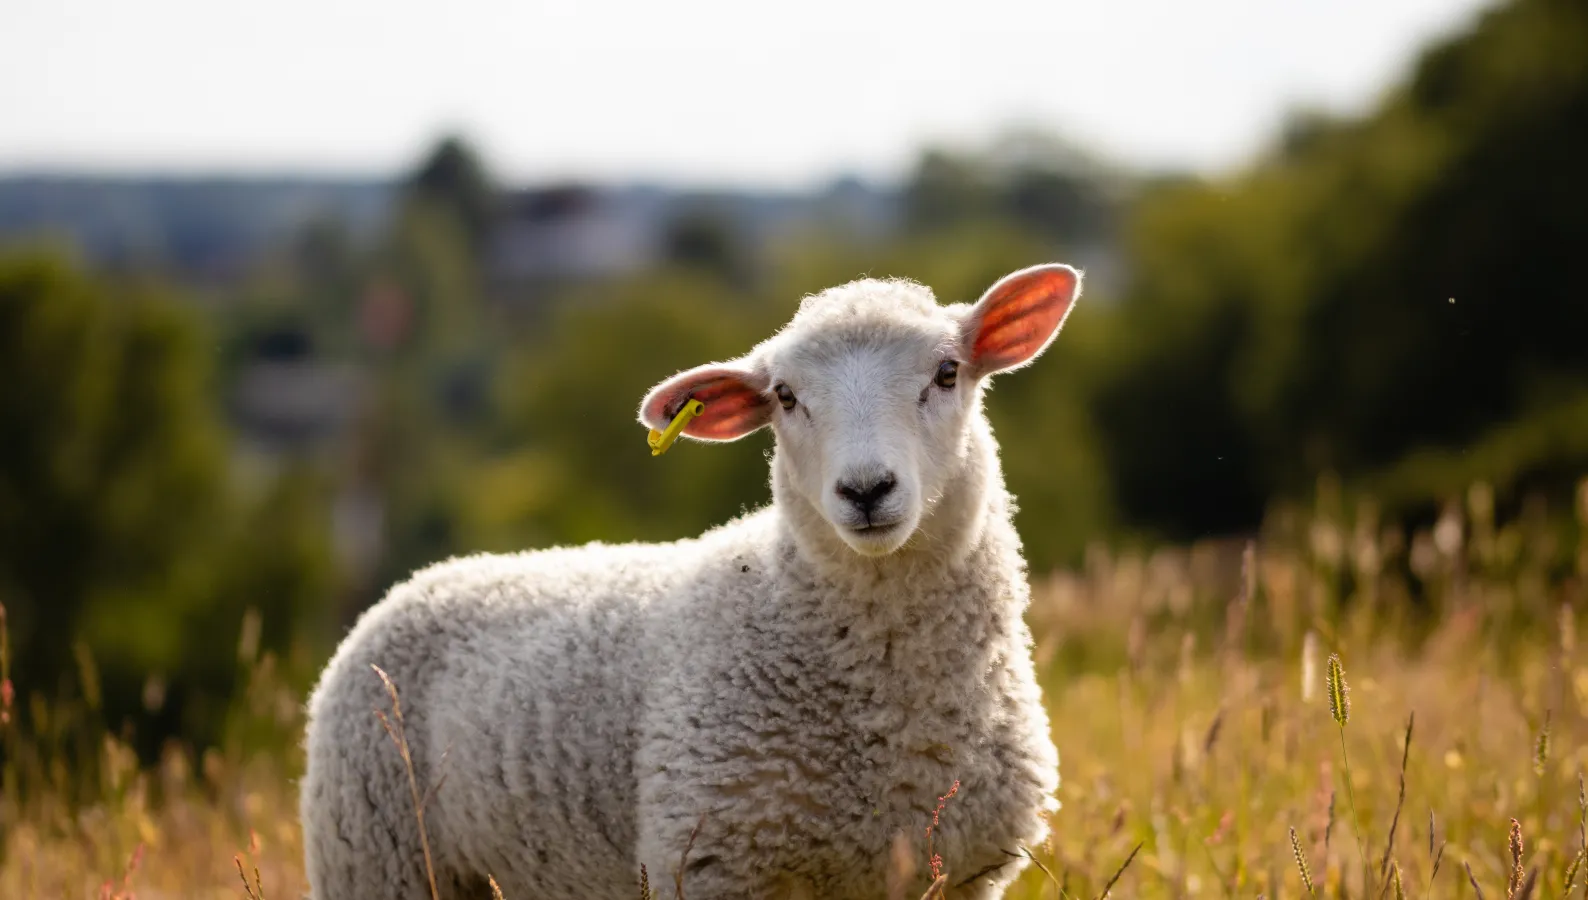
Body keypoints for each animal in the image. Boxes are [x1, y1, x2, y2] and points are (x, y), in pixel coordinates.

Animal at [300, 261, 1079, 900]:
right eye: (785, 396)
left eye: (947, 372)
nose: (865, 490)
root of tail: (422, 580)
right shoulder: (709, 863)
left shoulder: (959, 875)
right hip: (377, 857)